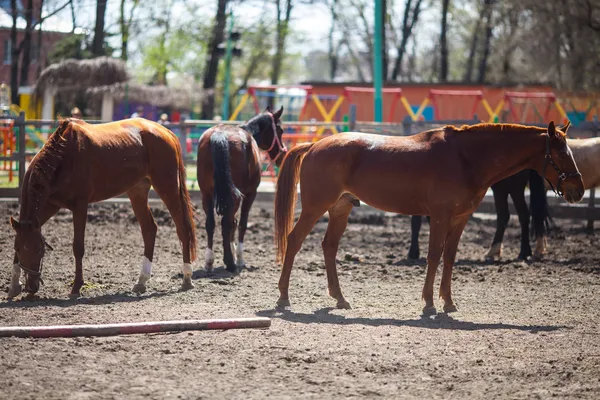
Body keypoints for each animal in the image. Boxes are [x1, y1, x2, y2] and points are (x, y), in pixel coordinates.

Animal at [7, 117, 197, 298]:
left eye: (39, 249)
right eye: (19, 249)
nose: (31, 287)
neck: (62, 157)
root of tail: (166, 132)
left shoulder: (80, 206)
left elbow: (78, 247)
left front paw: (76, 287)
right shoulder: (49, 207)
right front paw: (14, 285)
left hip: (167, 186)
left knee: (182, 228)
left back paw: (187, 278)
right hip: (137, 191)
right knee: (149, 229)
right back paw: (141, 281)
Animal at [198, 105, 288, 272]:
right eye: (280, 130)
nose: (282, 154)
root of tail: (219, 135)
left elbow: (233, 222)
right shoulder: (250, 193)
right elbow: (241, 223)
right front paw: (239, 258)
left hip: (206, 193)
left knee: (211, 224)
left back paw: (209, 262)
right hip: (234, 196)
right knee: (226, 223)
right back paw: (231, 263)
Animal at [406, 170, 552, 260]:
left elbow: (417, 221)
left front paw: (413, 252)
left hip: (513, 186)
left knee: (523, 214)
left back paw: (523, 252)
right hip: (501, 188)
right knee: (504, 215)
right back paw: (495, 251)